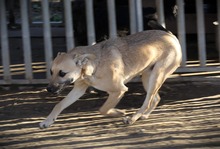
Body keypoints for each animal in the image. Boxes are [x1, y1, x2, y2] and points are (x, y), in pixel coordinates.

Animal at [39, 30, 182, 128]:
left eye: (62, 73)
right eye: (51, 72)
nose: (48, 89)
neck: (93, 65)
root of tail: (171, 36)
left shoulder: (119, 90)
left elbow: (103, 109)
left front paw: (119, 112)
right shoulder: (78, 89)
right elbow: (59, 105)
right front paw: (47, 121)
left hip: (156, 76)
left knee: (147, 101)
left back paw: (132, 118)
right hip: (147, 78)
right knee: (155, 98)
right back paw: (144, 115)